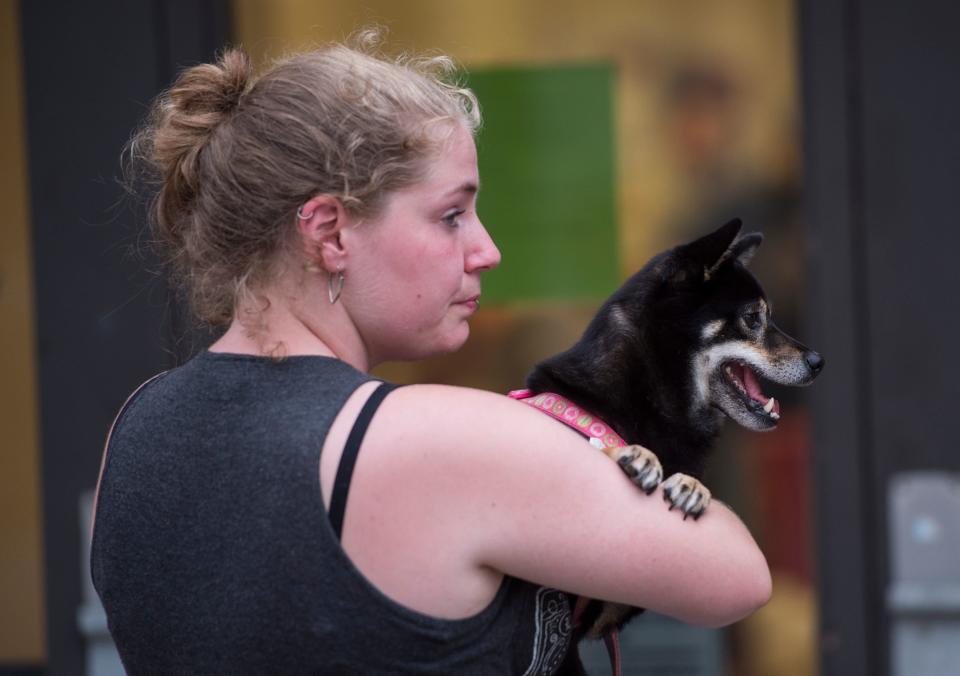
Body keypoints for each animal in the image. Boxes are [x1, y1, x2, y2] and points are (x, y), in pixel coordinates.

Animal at [520, 219, 820, 672]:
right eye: (753, 318)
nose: (819, 361)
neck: (650, 394)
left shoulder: (611, 609)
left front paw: (693, 486)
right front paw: (633, 453)